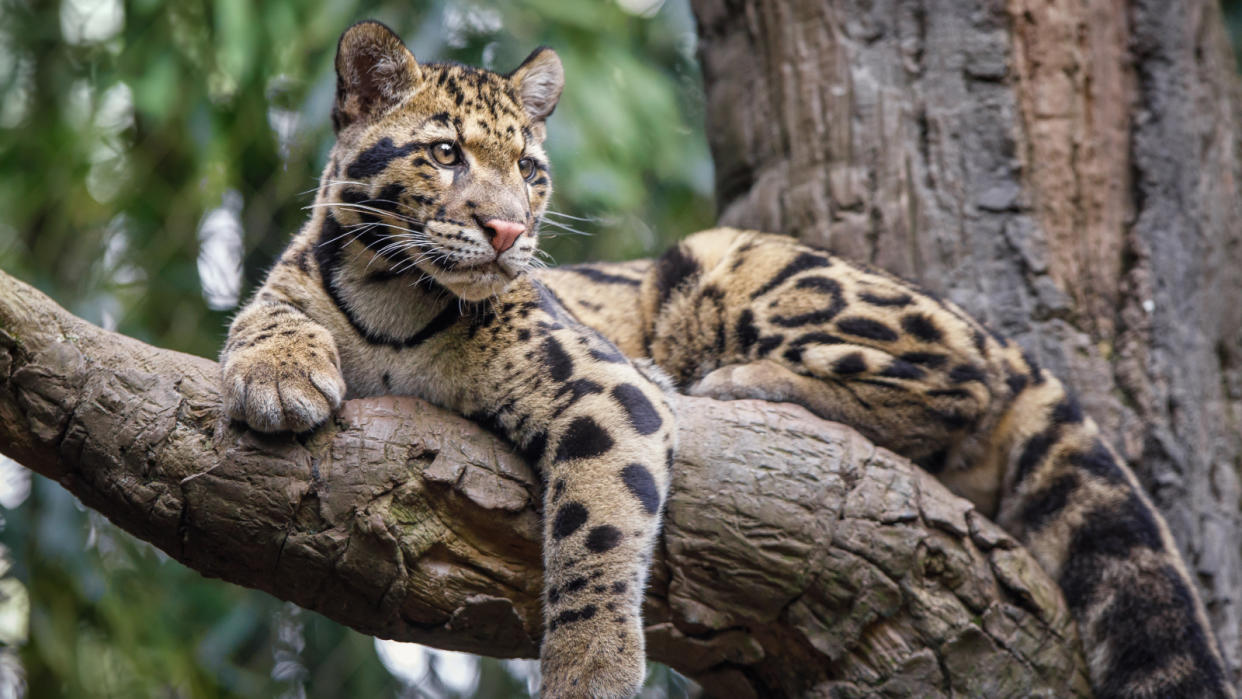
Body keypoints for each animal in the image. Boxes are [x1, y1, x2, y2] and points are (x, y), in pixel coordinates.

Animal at [226, 19, 1232, 695]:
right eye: (443, 153)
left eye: (532, 171)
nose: (510, 229)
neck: (395, 296)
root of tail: (998, 332)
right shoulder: (297, 282)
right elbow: (264, 313)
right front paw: (277, 375)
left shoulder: (603, 383)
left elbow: (597, 531)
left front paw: (590, 669)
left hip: (738, 263)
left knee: (960, 383)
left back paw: (743, 380)